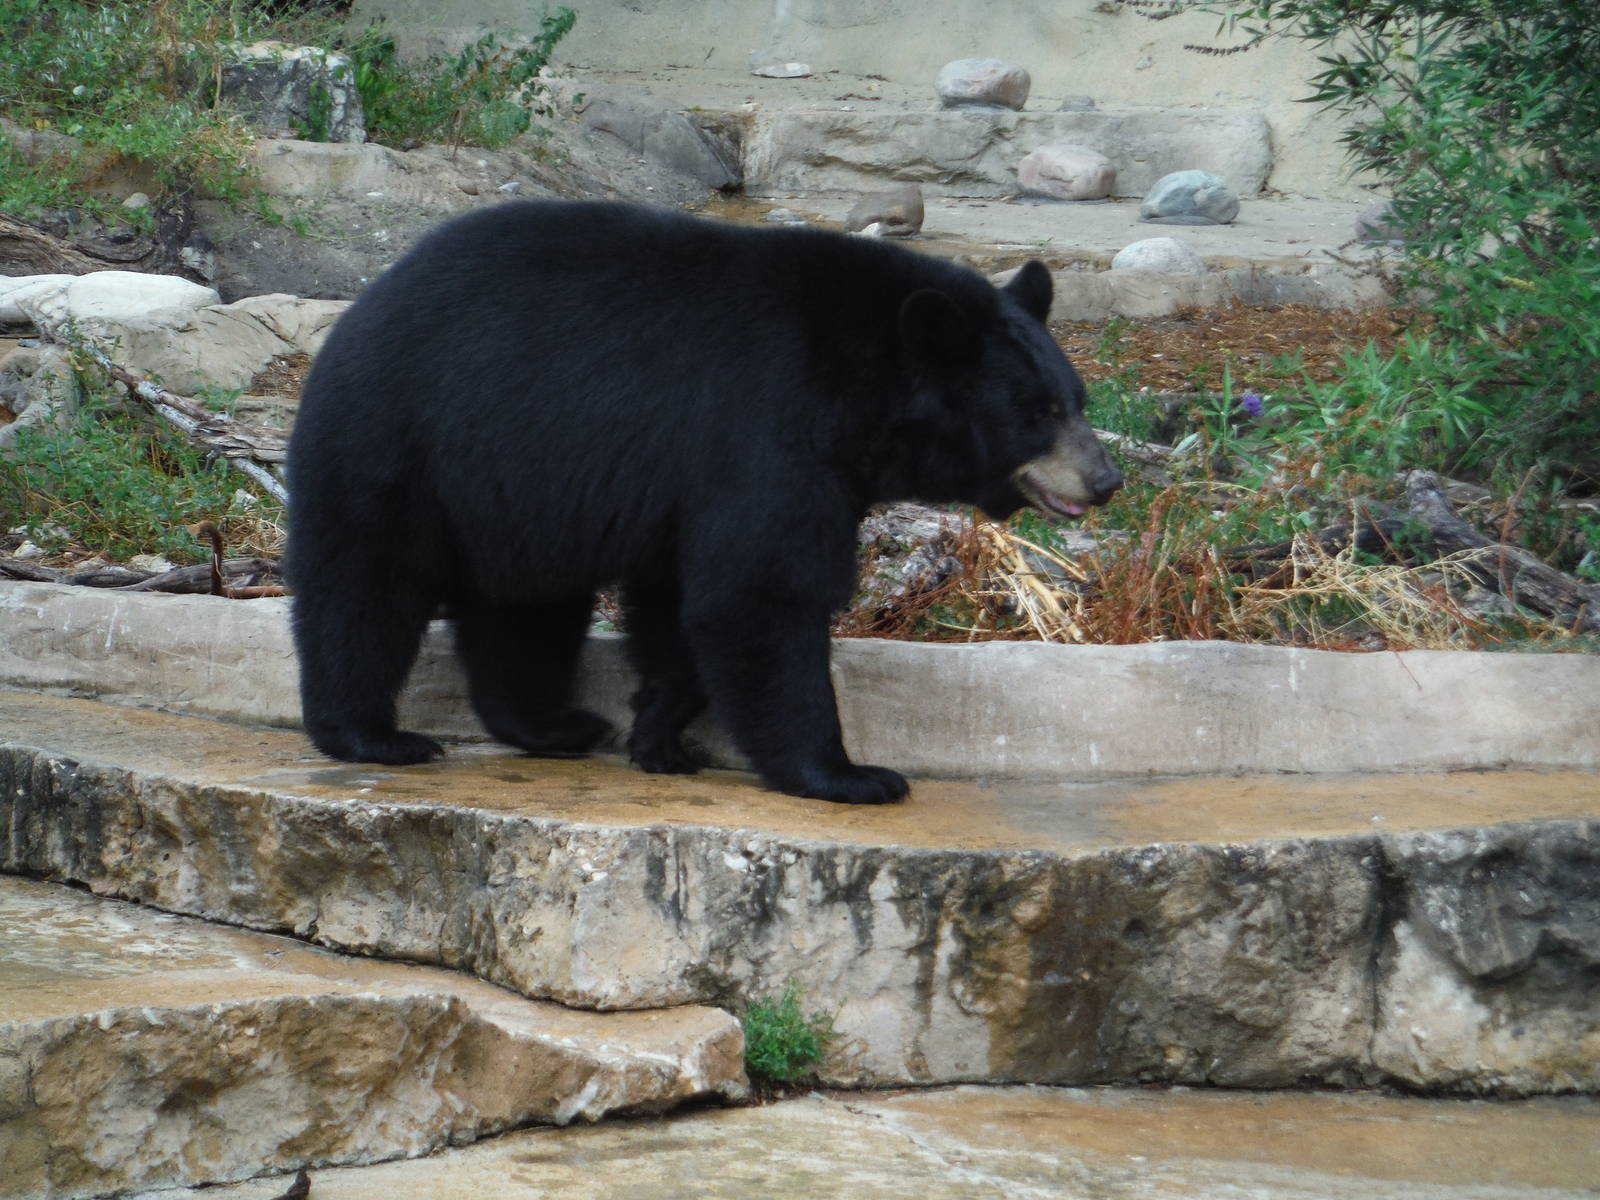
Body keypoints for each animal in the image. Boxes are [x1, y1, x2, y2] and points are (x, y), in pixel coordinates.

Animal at [285, 200, 1122, 805]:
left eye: (1076, 400)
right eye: (1037, 412)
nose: (1106, 478)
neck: (863, 391)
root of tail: (363, 303)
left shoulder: (687, 479)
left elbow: (683, 602)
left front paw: (657, 733)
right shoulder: (767, 428)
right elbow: (762, 594)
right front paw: (850, 774)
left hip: (516, 483)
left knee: (525, 606)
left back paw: (554, 723)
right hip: (400, 439)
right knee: (365, 585)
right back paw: (371, 735)